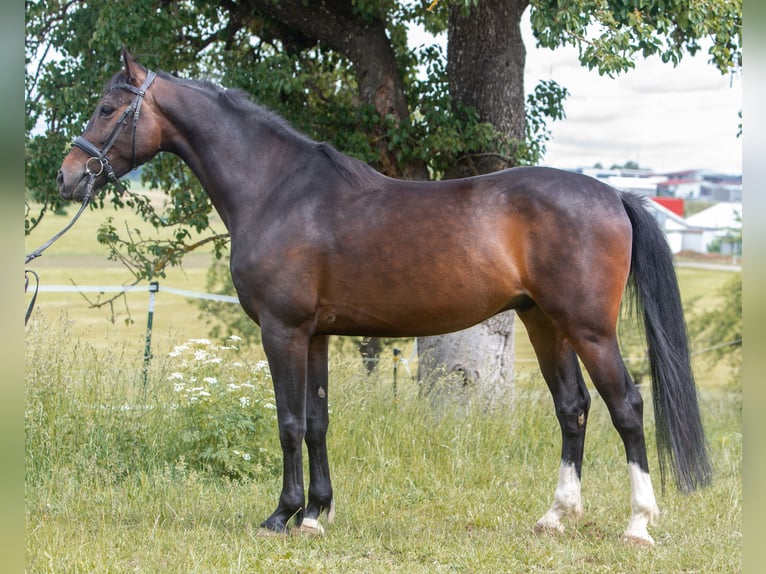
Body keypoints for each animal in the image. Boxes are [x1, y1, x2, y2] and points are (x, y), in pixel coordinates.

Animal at [57, 48, 711, 545]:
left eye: (108, 108)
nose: (67, 177)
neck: (277, 190)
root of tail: (614, 195)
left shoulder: (282, 330)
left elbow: (288, 422)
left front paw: (281, 515)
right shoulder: (315, 335)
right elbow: (316, 421)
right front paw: (316, 515)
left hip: (590, 328)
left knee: (627, 406)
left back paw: (638, 525)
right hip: (544, 323)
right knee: (572, 408)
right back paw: (555, 517)